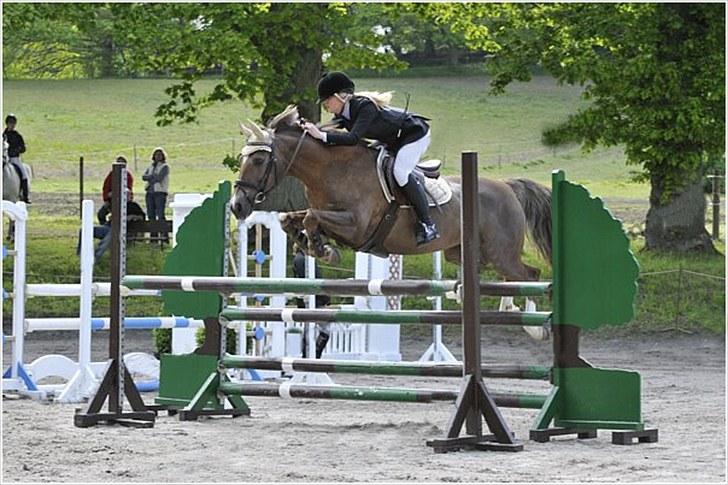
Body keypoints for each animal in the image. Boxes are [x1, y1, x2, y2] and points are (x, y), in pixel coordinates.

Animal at [233, 105, 552, 280]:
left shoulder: (357, 226)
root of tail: (507, 187)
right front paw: (315, 246)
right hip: (464, 253)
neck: (331, 170)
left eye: (258, 160)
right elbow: (289, 218)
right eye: (241, 158)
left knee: (529, 275)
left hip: (502, 253)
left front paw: (322, 249)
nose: (237, 206)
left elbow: (312, 217)